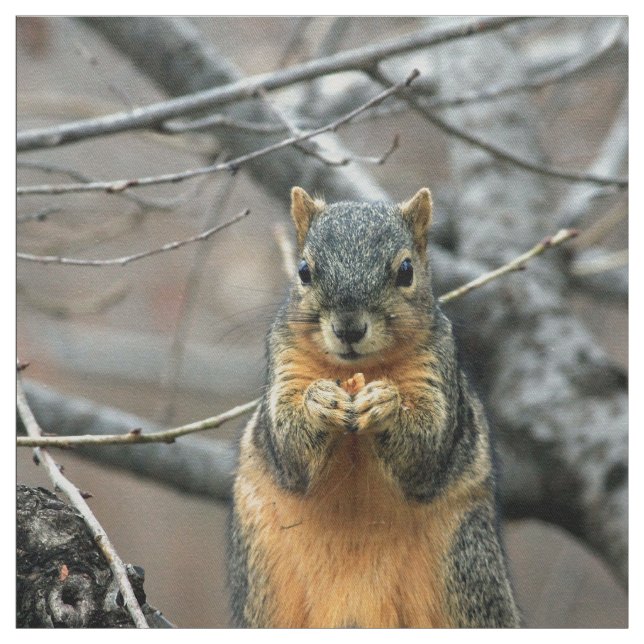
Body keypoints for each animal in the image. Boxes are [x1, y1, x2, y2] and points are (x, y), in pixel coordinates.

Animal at [228, 187, 520, 628]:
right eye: (303, 271)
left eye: (406, 271)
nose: (349, 328)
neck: (355, 371)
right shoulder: (284, 363)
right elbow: (288, 448)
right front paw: (319, 403)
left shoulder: (436, 369)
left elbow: (427, 448)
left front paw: (386, 405)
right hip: (261, 582)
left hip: (466, 567)